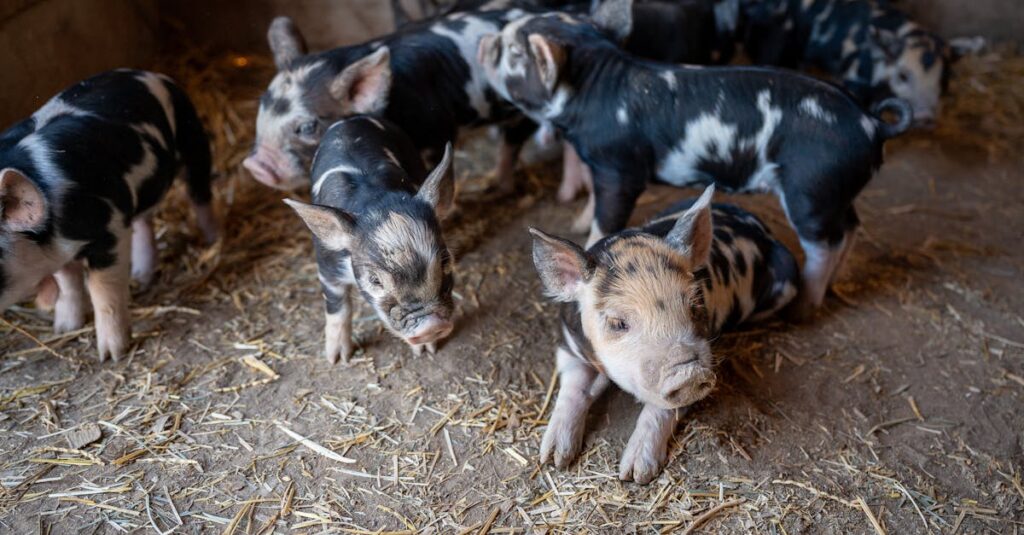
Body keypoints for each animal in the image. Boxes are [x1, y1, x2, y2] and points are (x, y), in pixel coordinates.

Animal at [0, 69, 216, 361]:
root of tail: (148, 73)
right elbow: (68, 282)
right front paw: (64, 328)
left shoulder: (110, 230)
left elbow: (103, 290)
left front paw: (112, 355)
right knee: (144, 220)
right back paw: (142, 277)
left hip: (192, 137)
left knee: (200, 193)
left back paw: (214, 242)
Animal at [245, 10, 535, 193]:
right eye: (262, 106)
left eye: (306, 127)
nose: (254, 166)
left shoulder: (438, 130)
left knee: (514, 140)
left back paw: (494, 185)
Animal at [285, 116, 456, 363]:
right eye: (375, 280)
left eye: (445, 261)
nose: (431, 326)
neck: (377, 200)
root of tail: (351, 118)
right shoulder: (326, 267)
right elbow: (337, 306)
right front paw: (338, 359)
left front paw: (427, 351)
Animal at [478, 2, 911, 317]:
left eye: (514, 52)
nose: (484, 42)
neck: (593, 91)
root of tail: (871, 124)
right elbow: (593, 203)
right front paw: (576, 221)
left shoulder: (620, 168)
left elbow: (608, 216)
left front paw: (591, 241)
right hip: (837, 190)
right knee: (851, 226)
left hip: (810, 188)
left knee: (826, 243)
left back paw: (806, 306)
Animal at [531, 186, 798, 483]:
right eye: (618, 322)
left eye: (693, 306)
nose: (688, 372)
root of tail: (758, 222)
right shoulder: (567, 345)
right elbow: (573, 388)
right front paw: (553, 459)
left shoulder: (706, 353)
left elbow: (663, 409)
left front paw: (635, 474)